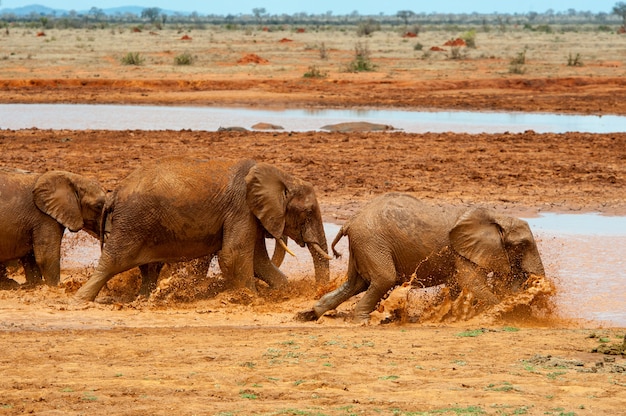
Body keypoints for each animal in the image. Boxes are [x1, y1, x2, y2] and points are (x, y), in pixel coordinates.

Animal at [74, 156, 332, 302]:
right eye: (308, 212)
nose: (319, 293)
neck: (281, 176)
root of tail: (114, 193)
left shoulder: (249, 214)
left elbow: (257, 261)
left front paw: (280, 293)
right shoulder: (241, 208)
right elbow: (234, 255)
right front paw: (253, 299)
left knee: (146, 267)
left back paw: (143, 299)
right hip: (133, 221)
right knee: (114, 261)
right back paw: (80, 301)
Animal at [304, 192, 544, 322]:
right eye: (522, 245)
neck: (497, 217)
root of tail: (349, 221)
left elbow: (459, 285)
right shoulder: (461, 250)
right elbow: (471, 282)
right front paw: (507, 314)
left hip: (364, 244)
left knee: (356, 283)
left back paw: (315, 313)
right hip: (372, 241)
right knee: (383, 279)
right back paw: (364, 321)